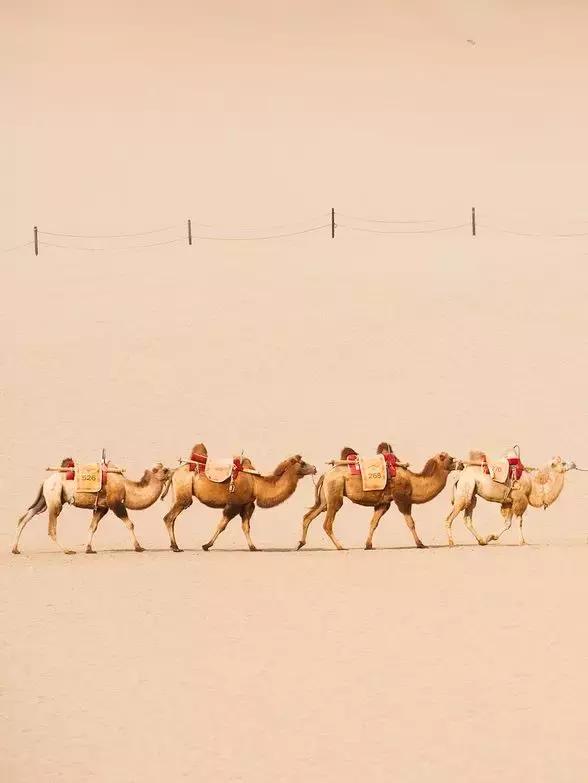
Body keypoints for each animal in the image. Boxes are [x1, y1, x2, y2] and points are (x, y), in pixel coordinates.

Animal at [13, 462, 170, 556]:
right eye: (165, 470)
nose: (171, 471)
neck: (126, 487)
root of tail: (45, 481)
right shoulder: (115, 504)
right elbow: (129, 524)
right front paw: (138, 547)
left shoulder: (102, 507)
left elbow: (92, 526)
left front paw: (89, 549)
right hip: (54, 498)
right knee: (51, 527)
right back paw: (67, 550)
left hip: (44, 499)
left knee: (25, 517)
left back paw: (15, 549)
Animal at [161, 444, 316, 556]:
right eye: (303, 463)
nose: (315, 468)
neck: (256, 484)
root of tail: (174, 471)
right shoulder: (234, 504)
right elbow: (222, 525)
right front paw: (206, 545)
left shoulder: (247, 504)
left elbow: (246, 527)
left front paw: (253, 548)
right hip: (184, 495)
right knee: (169, 517)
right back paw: (175, 547)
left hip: (178, 495)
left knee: (171, 518)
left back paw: (174, 546)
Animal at [296, 440, 458, 552]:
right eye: (451, 459)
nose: (461, 464)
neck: (413, 482)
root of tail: (326, 474)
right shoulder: (402, 500)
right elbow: (410, 522)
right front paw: (421, 544)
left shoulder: (384, 503)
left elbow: (373, 523)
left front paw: (368, 545)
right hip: (335, 492)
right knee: (327, 523)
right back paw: (340, 547)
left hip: (325, 499)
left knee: (308, 516)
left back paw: (300, 543)